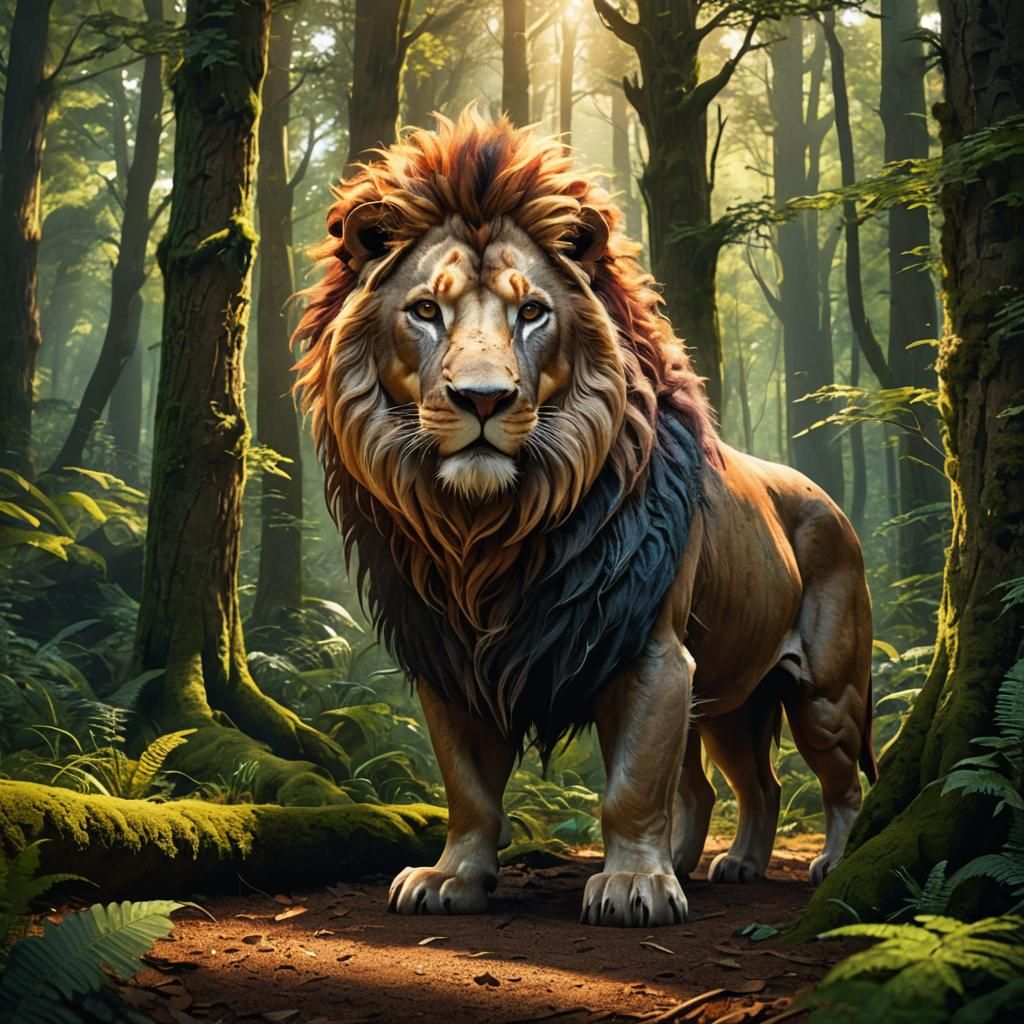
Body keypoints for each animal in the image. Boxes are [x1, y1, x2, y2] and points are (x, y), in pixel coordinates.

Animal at [294, 111, 877, 928]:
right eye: (426, 311)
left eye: (532, 312)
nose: (483, 398)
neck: (489, 533)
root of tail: (829, 502)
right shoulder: (450, 660)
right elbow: (468, 787)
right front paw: (452, 878)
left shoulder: (652, 654)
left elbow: (630, 786)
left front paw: (634, 886)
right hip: (730, 698)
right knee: (745, 786)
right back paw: (718, 862)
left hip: (824, 694)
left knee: (840, 781)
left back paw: (832, 863)